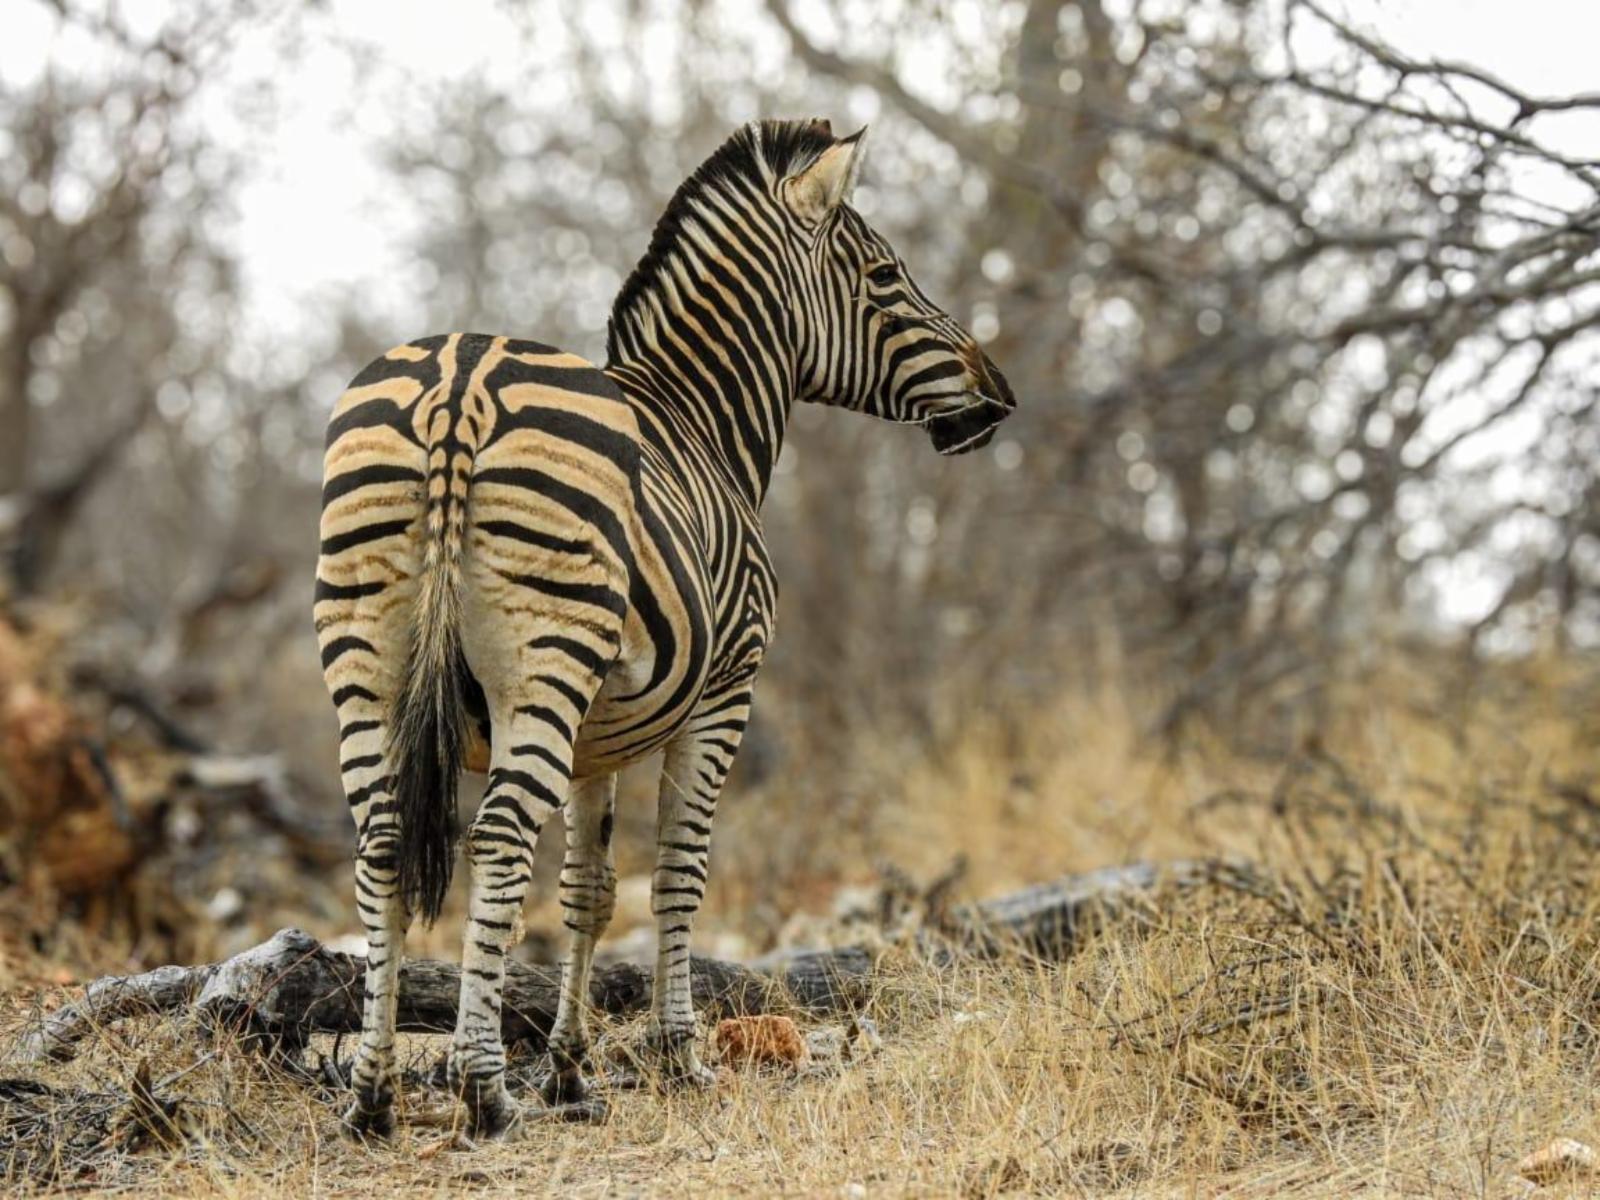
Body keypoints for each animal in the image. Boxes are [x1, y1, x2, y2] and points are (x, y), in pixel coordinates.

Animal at [316, 118, 1015, 1139]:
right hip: (545, 664)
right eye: (886, 275)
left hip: (365, 662)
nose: (999, 394)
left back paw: (372, 1095)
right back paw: (483, 1089)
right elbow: (679, 874)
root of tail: (461, 377)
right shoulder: (727, 692)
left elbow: (589, 890)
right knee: (498, 841)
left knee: (381, 842)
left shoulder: (595, 740)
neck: (708, 424)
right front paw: (677, 1055)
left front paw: (572, 1074)